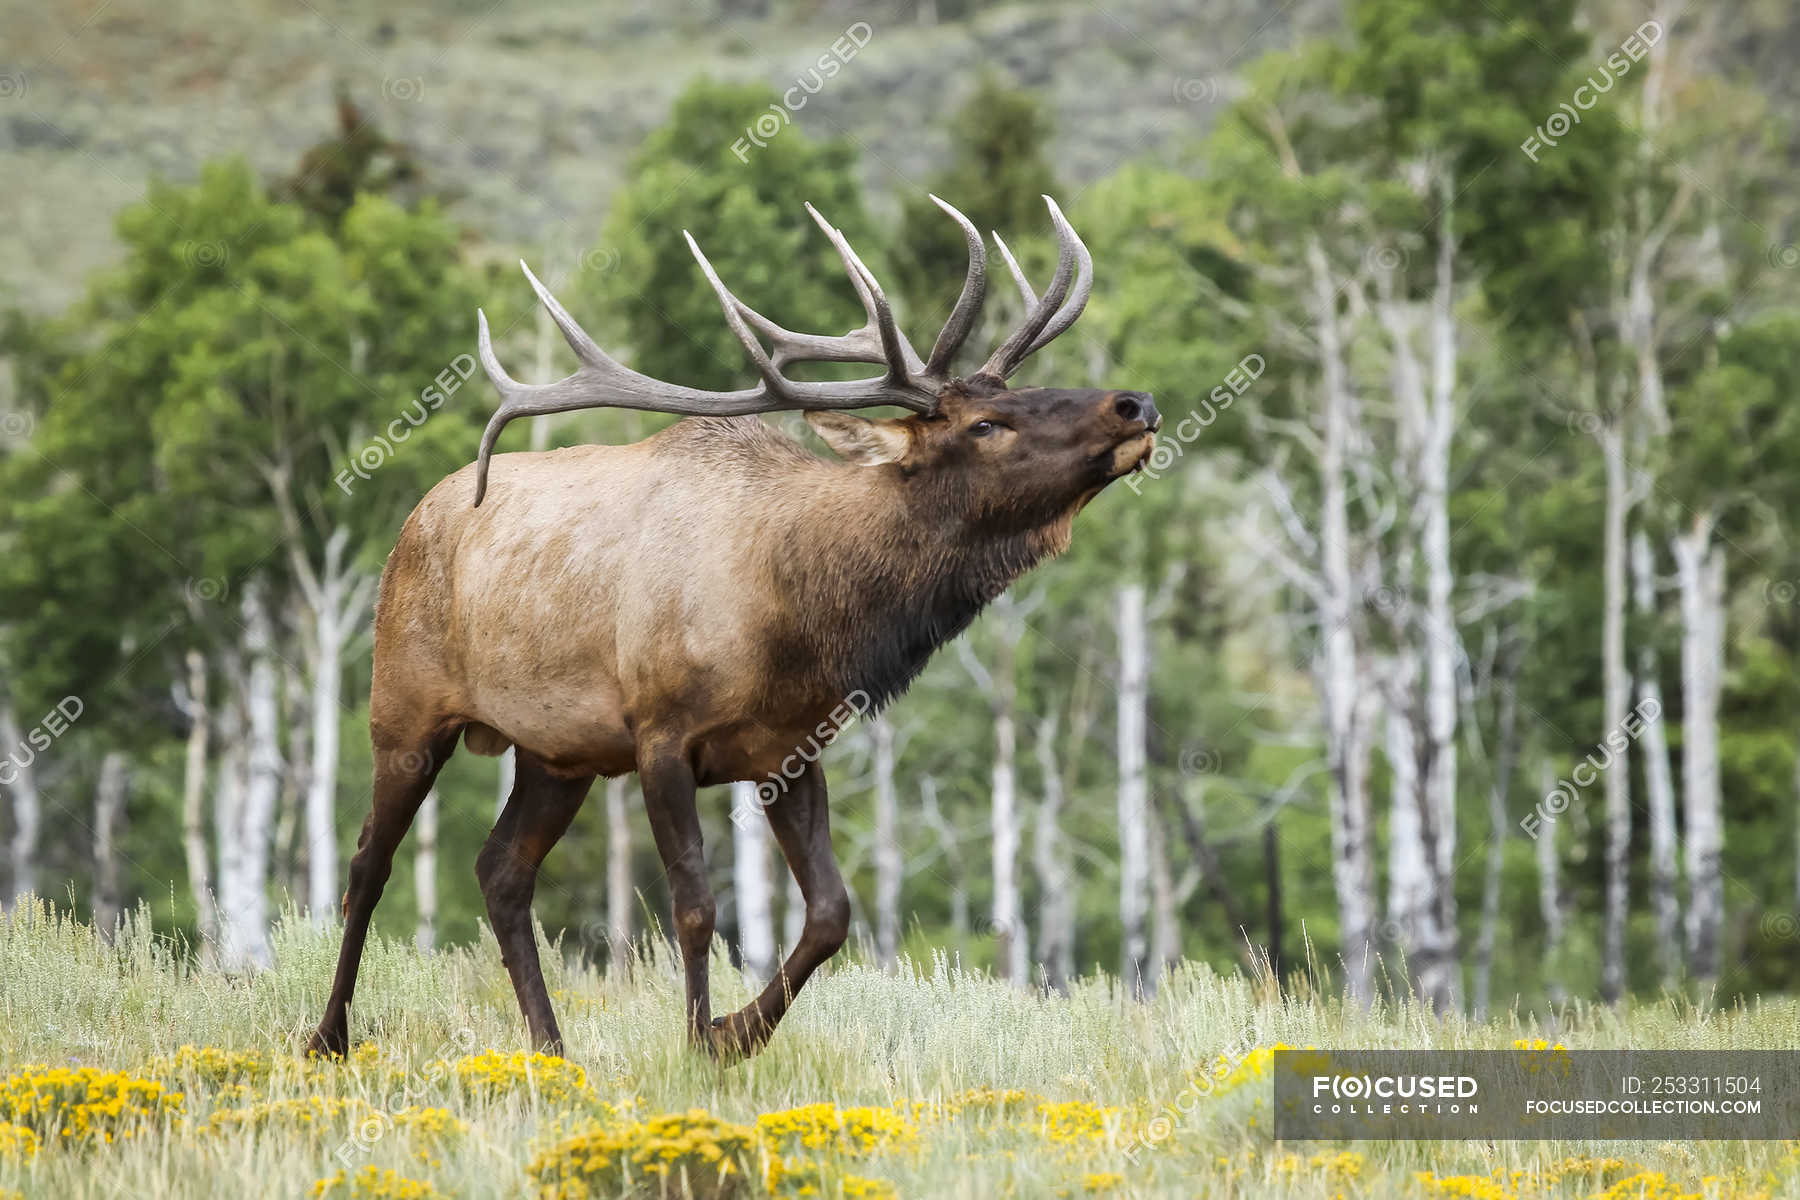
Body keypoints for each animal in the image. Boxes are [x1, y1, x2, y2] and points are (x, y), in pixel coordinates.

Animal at [306, 194, 1158, 1062]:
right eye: (986, 423)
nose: (1134, 405)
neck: (798, 617)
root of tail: (414, 518)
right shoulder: (660, 733)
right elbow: (697, 910)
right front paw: (697, 1045)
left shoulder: (789, 746)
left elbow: (831, 913)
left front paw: (733, 1033)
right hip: (403, 706)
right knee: (367, 865)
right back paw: (328, 1035)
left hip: (557, 753)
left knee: (500, 870)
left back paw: (550, 1048)